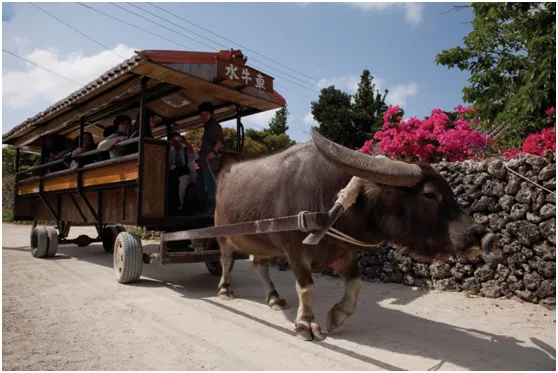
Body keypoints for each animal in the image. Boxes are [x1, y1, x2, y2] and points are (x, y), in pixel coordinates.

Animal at [214, 127, 498, 340]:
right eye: (429, 194)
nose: (482, 235)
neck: (330, 201)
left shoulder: (344, 252)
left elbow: (355, 286)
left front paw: (336, 316)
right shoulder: (296, 251)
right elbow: (306, 288)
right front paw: (306, 324)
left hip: (261, 241)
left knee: (259, 265)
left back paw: (273, 298)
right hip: (222, 234)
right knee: (225, 260)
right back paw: (225, 289)